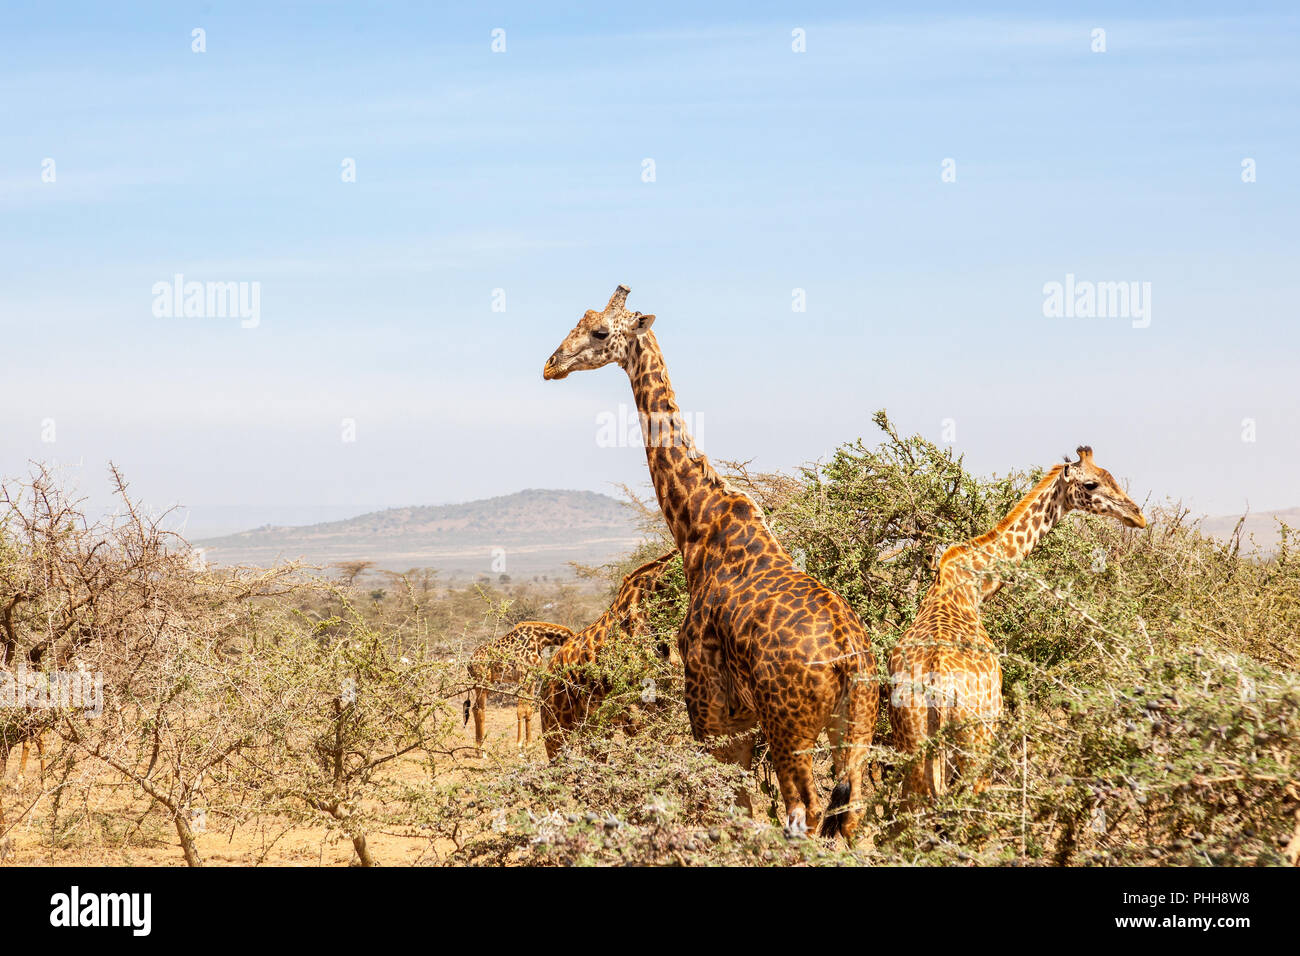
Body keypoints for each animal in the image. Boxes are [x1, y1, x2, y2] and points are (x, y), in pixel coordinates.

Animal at [464, 621, 575, 756]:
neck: (540, 640)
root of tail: (469, 663)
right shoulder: (523, 677)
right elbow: (520, 710)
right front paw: (519, 744)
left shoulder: (532, 679)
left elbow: (529, 711)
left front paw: (528, 745)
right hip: (482, 682)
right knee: (479, 709)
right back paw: (481, 750)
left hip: (487, 683)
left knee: (475, 708)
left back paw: (478, 748)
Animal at [889, 446, 1146, 805]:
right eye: (1091, 484)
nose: (1138, 516)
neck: (974, 586)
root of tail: (937, 677)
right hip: (979, 736)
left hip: (910, 739)